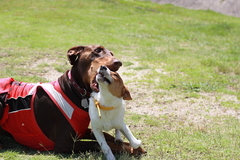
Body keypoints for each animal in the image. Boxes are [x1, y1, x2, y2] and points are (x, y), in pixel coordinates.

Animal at [0, 45, 146, 155]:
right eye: (97, 50)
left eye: (111, 53)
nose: (118, 63)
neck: (73, 90)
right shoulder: (65, 143)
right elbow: (97, 144)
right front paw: (131, 148)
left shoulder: (81, 130)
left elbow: (106, 135)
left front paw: (130, 143)